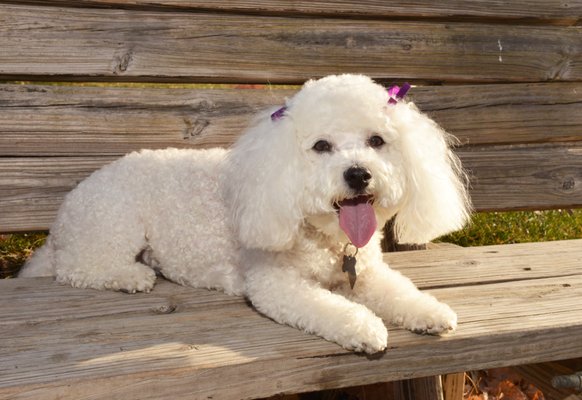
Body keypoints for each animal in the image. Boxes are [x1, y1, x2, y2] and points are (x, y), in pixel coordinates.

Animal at [20, 75, 472, 354]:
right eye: (321, 146)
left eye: (377, 140)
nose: (358, 174)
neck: (323, 238)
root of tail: (61, 221)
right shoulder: (275, 284)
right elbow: (331, 308)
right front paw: (364, 327)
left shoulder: (368, 273)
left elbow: (401, 292)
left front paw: (429, 312)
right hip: (116, 223)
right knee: (78, 269)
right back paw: (132, 277)